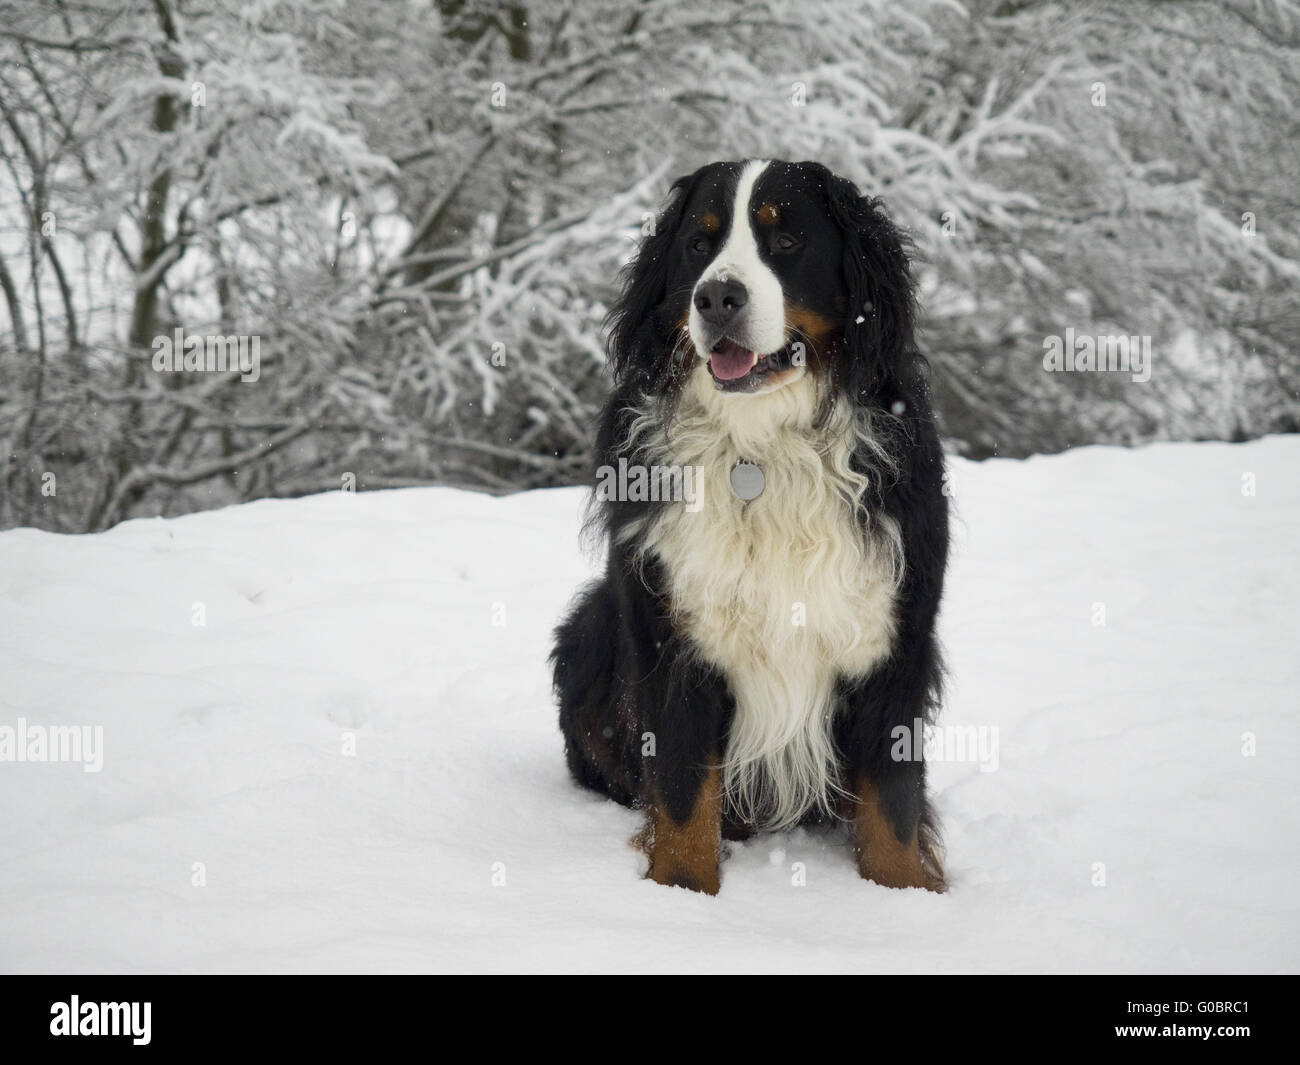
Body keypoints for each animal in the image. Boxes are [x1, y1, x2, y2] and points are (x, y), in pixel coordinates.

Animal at [543, 156, 951, 889]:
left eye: (785, 240)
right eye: (699, 244)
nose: (716, 298)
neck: (762, 448)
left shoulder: (896, 631)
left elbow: (894, 801)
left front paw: (904, 893)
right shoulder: (670, 631)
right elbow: (681, 791)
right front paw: (681, 890)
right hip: (593, 626)